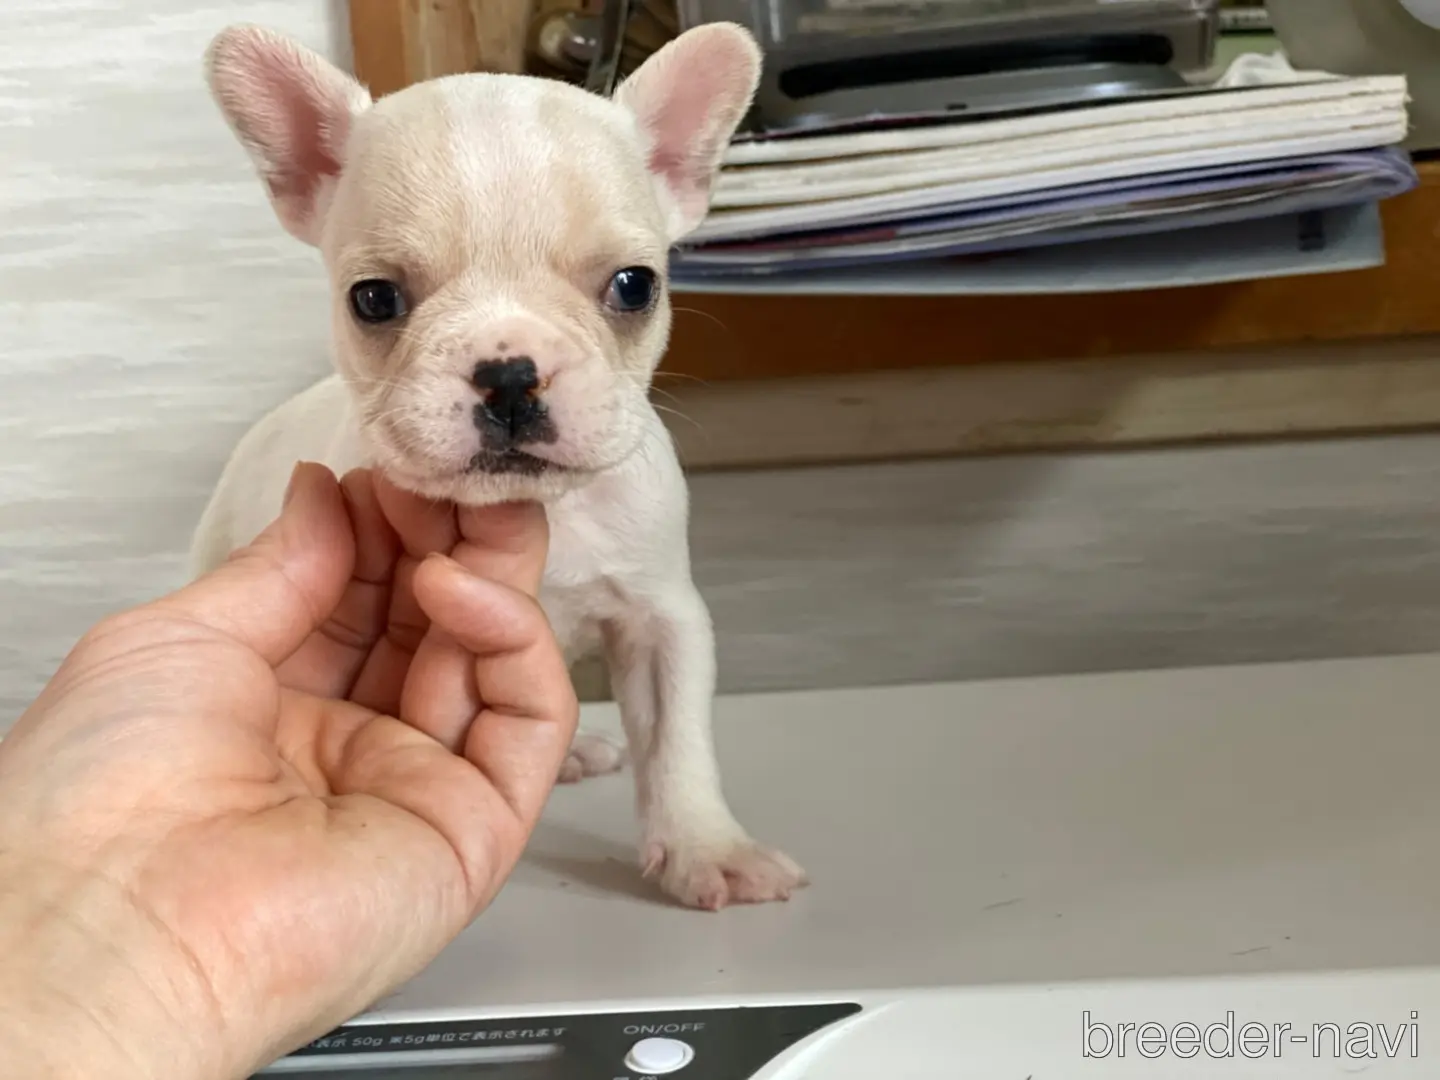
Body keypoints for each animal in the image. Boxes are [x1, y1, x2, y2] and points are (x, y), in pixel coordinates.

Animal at [189, 23, 805, 910]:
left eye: (635, 286)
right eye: (373, 298)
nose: (510, 373)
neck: (543, 510)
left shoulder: (663, 617)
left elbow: (677, 739)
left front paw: (707, 847)